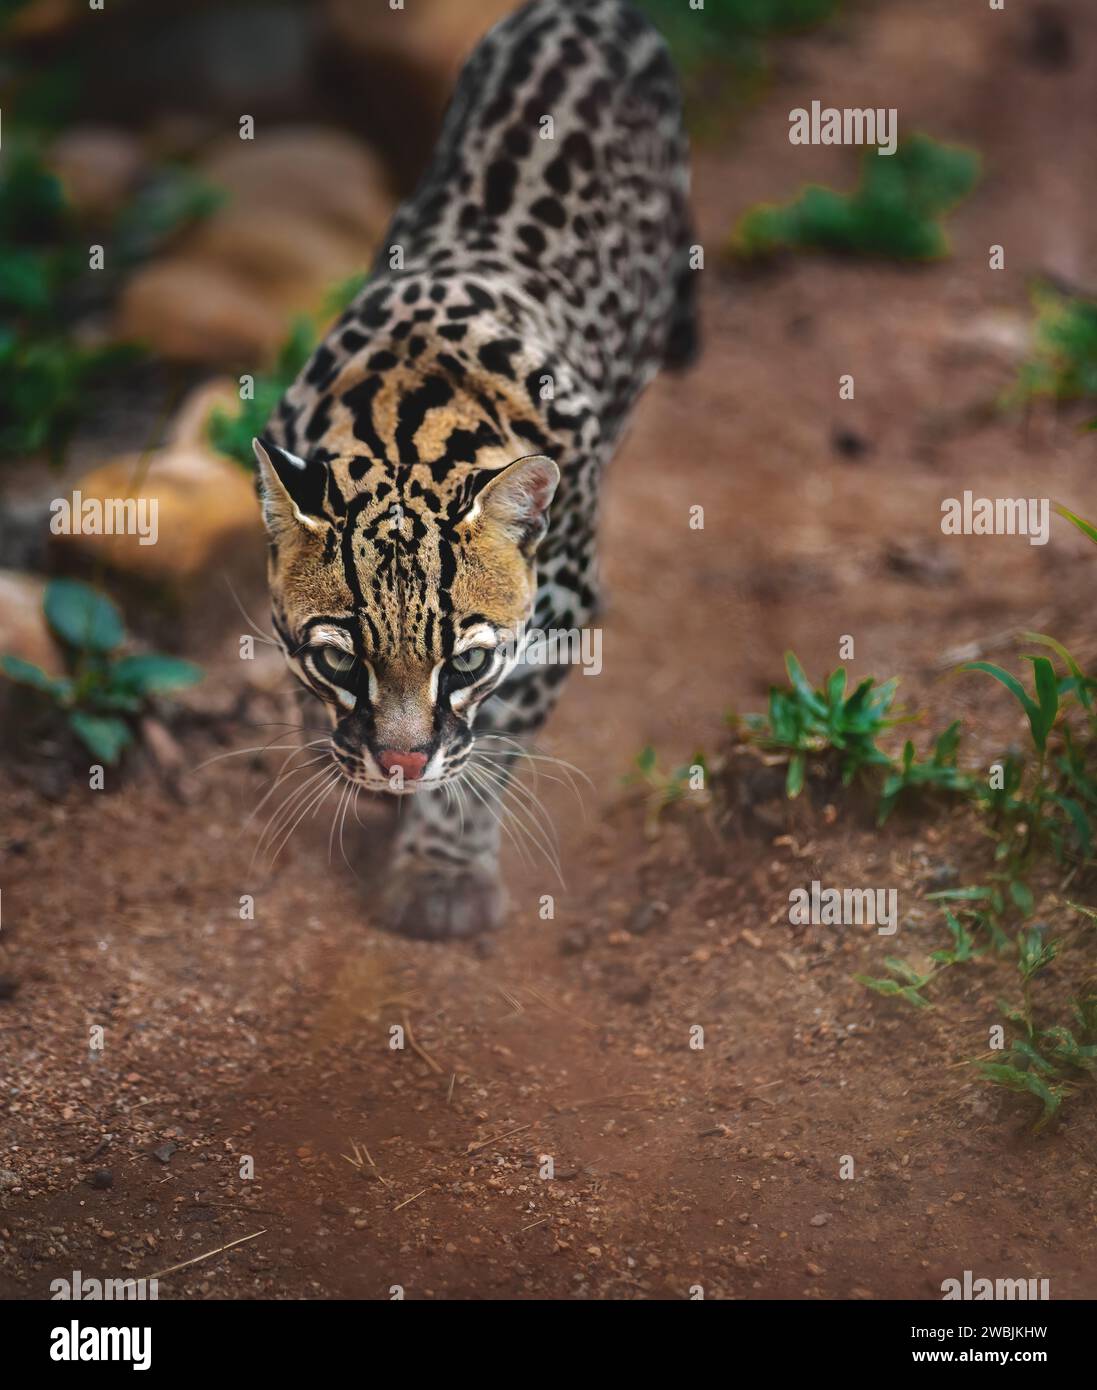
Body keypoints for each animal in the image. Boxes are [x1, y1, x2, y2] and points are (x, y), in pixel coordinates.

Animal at [253, 0, 697, 945]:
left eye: (463, 664)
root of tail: (582, 9)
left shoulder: (554, 614)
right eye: (339, 660)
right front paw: (340, 755)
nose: (398, 762)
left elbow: (486, 750)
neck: (402, 426)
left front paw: (440, 872)